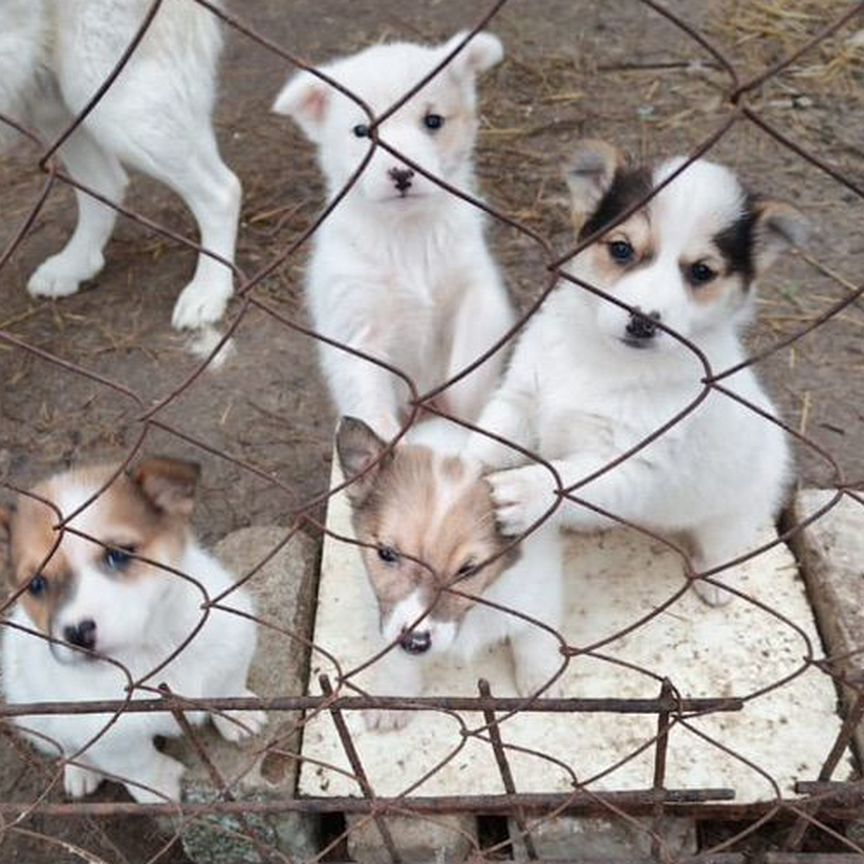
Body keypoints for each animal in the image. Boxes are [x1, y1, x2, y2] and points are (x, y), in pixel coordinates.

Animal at [0, 460, 264, 804]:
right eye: (36, 585)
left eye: (120, 554)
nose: (77, 633)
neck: (151, 650)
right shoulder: (110, 734)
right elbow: (139, 766)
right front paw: (159, 787)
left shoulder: (232, 642)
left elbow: (226, 687)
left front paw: (239, 716)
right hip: (34, 716)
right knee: (68, 746)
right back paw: (81, 770)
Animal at [2, 0, 243, 330]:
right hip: (58, 101)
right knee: (105, 183)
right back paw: (74, 264)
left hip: (114, 98)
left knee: (221, 191)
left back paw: (208, 290)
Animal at [274, 33, 512, 438]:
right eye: (361, 132)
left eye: (433, 121)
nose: (402, 173)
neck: (407, 234)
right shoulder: (357, 329)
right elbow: (368, 400)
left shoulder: (477, 286)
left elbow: (474, 349)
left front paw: (462, 403)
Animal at [334, 418, 564, 728]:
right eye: (386, 553)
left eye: (468, 569)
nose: (415, 643)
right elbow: (395, 663)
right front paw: (391, 699)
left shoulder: (538, 593)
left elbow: (534, 640)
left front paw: (541, 681)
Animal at [470, 138, 808, 604]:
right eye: (621, 249)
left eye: (701, 272)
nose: (643, 321)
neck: (603, 360)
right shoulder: (521, 397)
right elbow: (489, 438)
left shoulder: (633, 464)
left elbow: (574, 481)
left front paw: (528, 491)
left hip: (737, 510)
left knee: (724, 543)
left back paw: (715, 579)